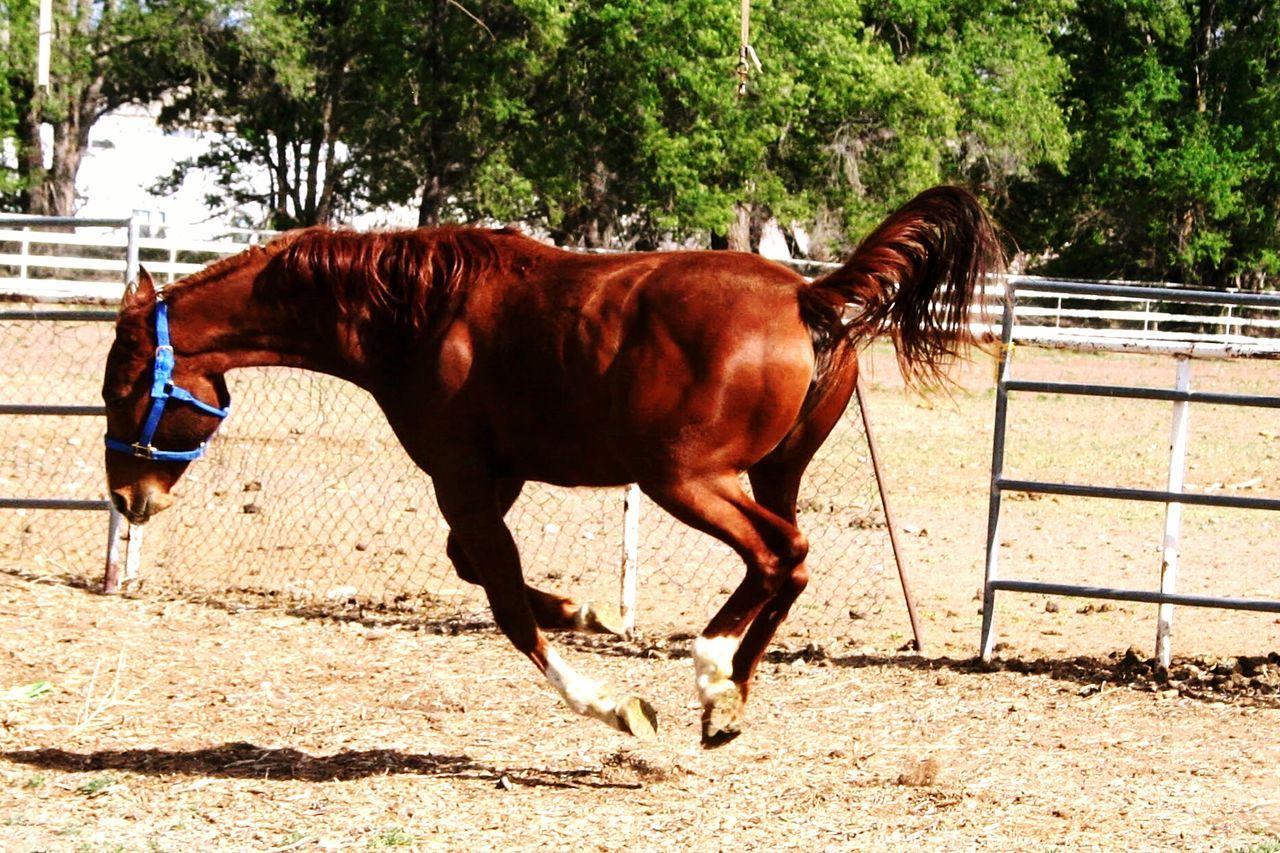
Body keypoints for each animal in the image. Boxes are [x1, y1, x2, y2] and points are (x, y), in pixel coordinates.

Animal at [102, 183, 998, 742]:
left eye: (118, 388)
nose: (127, 495)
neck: (418, 314)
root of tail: (807, 295)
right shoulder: (493, 479)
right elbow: (475, 569)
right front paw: (584, 609)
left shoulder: (462, 482)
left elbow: (503, 603)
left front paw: (614, 705)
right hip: (774, 472)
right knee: (789, 563)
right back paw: (726, 699)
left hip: (686, 480)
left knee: (780, 555)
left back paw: (711, 670)